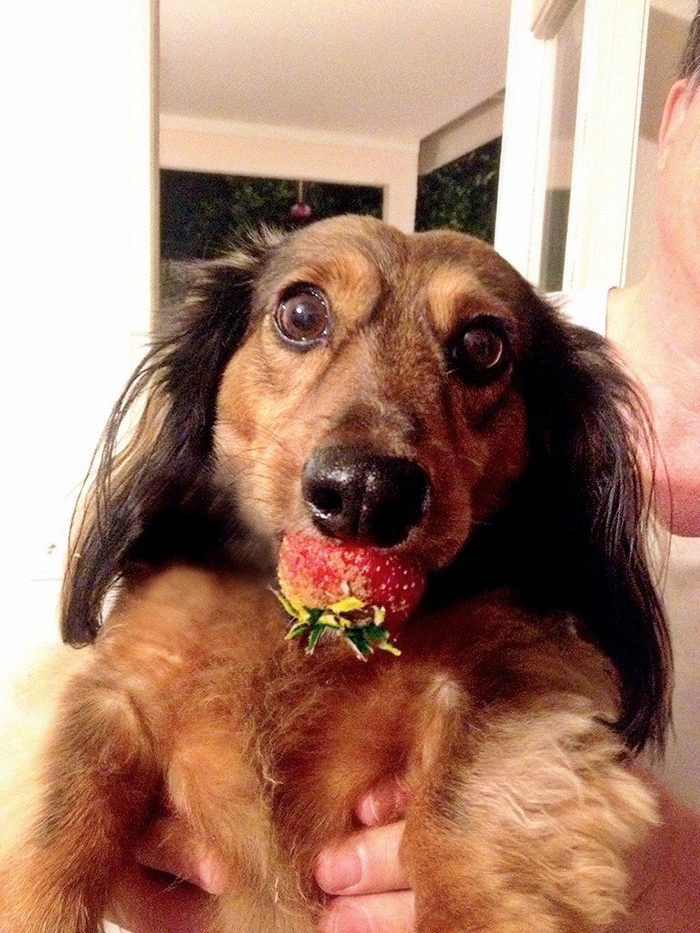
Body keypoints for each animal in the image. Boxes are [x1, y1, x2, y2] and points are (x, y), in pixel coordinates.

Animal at [0, 215, 668, 928]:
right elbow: (56, 826)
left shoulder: (507, 690)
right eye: (300, 313)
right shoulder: (112, 688)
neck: (303, 630)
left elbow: (461, 815)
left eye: (484, 345)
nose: (367, 492)